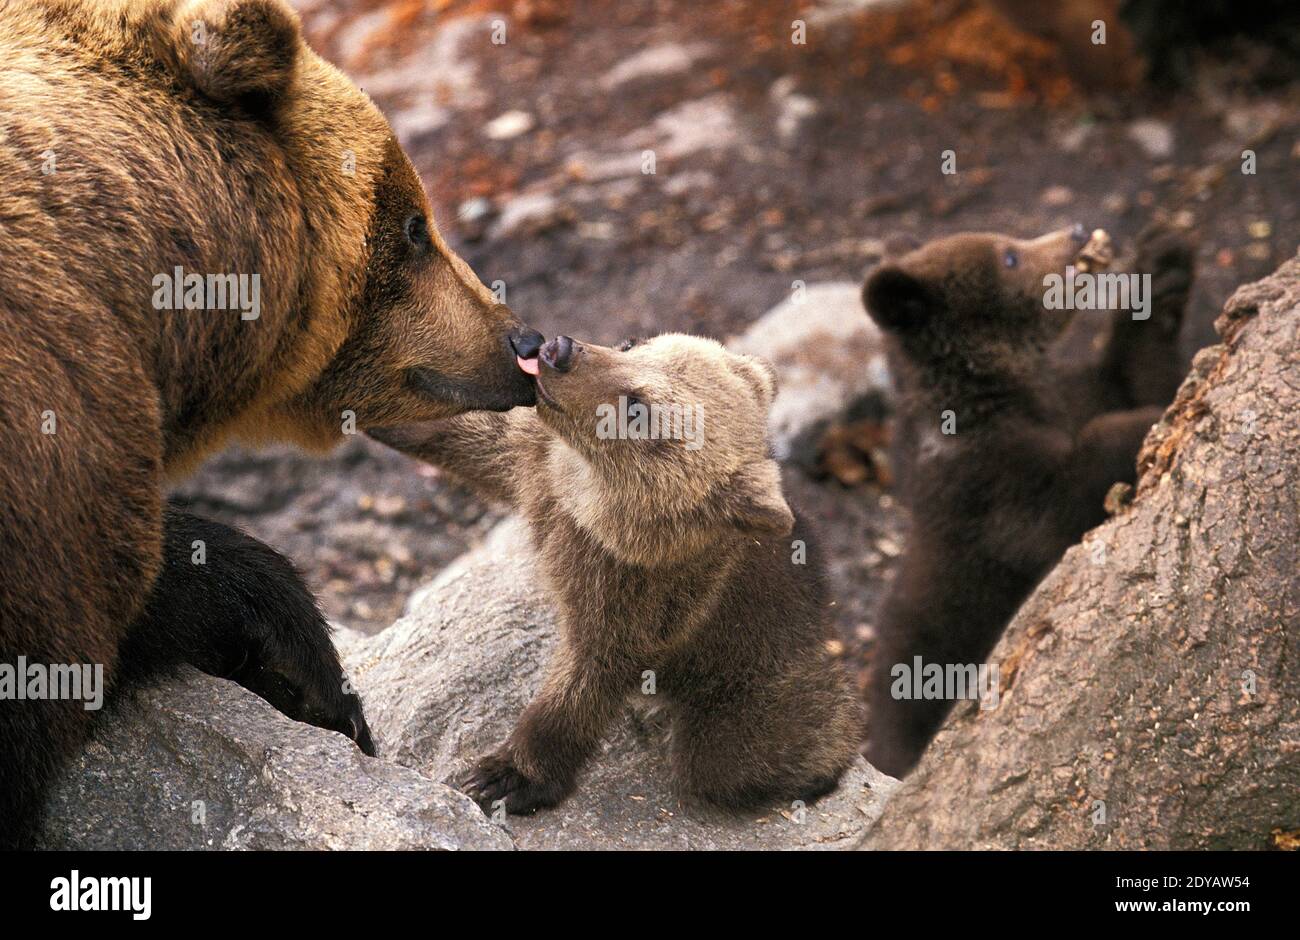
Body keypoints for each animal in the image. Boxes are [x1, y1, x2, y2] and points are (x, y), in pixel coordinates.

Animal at [370, 334, 864, 814]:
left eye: (638, 408)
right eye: (632, 345)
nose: (559, 350)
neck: (593, 506)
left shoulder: (642, 592)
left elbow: (589, 675)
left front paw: (507, 776)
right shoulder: (538, 466)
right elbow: (467, 436)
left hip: (754, 670)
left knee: (728, 757)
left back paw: (822, 766)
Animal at [860, 223, 1193, 777]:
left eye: (1009, 241)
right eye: (1009, 255)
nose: (1076, 231)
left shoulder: (1074, 392)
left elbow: (1136, 373)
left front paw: (1165, 267)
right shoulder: (985, 484)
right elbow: (1055, 505)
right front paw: (1143, 423)